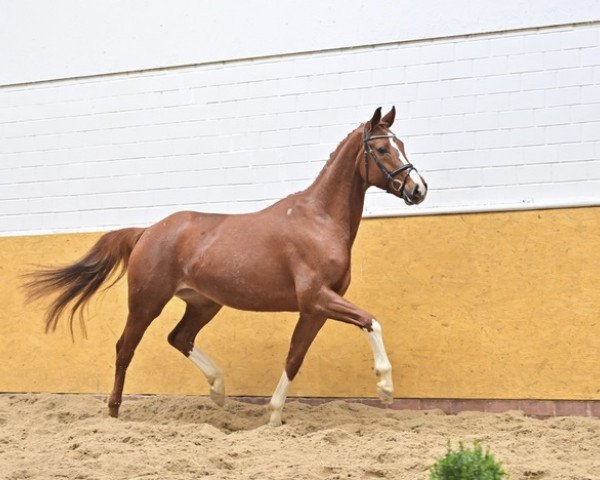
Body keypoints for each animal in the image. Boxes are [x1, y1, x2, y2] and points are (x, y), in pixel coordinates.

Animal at [23, 107, 426, 426]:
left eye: (402, 144)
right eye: (381, 148)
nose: (418, 189)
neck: (319, 221)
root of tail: (147, 232)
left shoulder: (315, 309)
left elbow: (295, 357)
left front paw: (274, 417)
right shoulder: (317, 298)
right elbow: (370, 320)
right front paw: (385, 387)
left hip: (204, 303)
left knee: (179, 338)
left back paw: (218, 390)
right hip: (146, 302)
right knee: (125, 349)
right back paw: (114, 411)